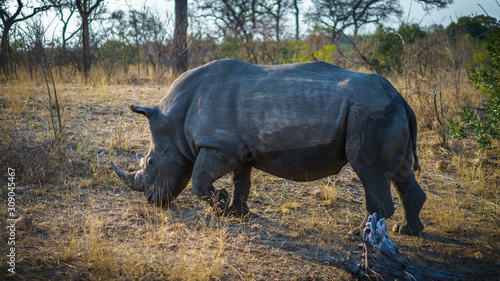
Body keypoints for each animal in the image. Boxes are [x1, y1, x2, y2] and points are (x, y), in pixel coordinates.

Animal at [112, 58, 426, 234]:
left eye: (150, 162)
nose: (152, 201)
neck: (173, 121)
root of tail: (399, 96)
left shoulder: (218, 145)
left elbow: (200, 181)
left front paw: (220, 205)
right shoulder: (237, 150)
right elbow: (242, 182)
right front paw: (237, 213)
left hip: (369, 112)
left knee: (370, 174)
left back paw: (358, 234)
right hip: (384, 109)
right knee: (400, 173)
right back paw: (406, 231)